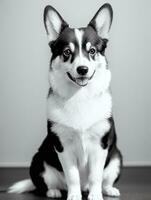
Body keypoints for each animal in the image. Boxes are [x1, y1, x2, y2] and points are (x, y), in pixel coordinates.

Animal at [8, 3, 122, 200]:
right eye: (67, 52)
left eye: (92, 51)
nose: (82, 69)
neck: (79, 95)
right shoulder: (63, 147)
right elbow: (72, 176)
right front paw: (74, 196)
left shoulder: (100, 146)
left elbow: (96, 176)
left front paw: (95, 195)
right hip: (38, 160)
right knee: (46, 185)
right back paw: (54, 191)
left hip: (116, 157)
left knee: (105, 179)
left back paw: (108, 189)